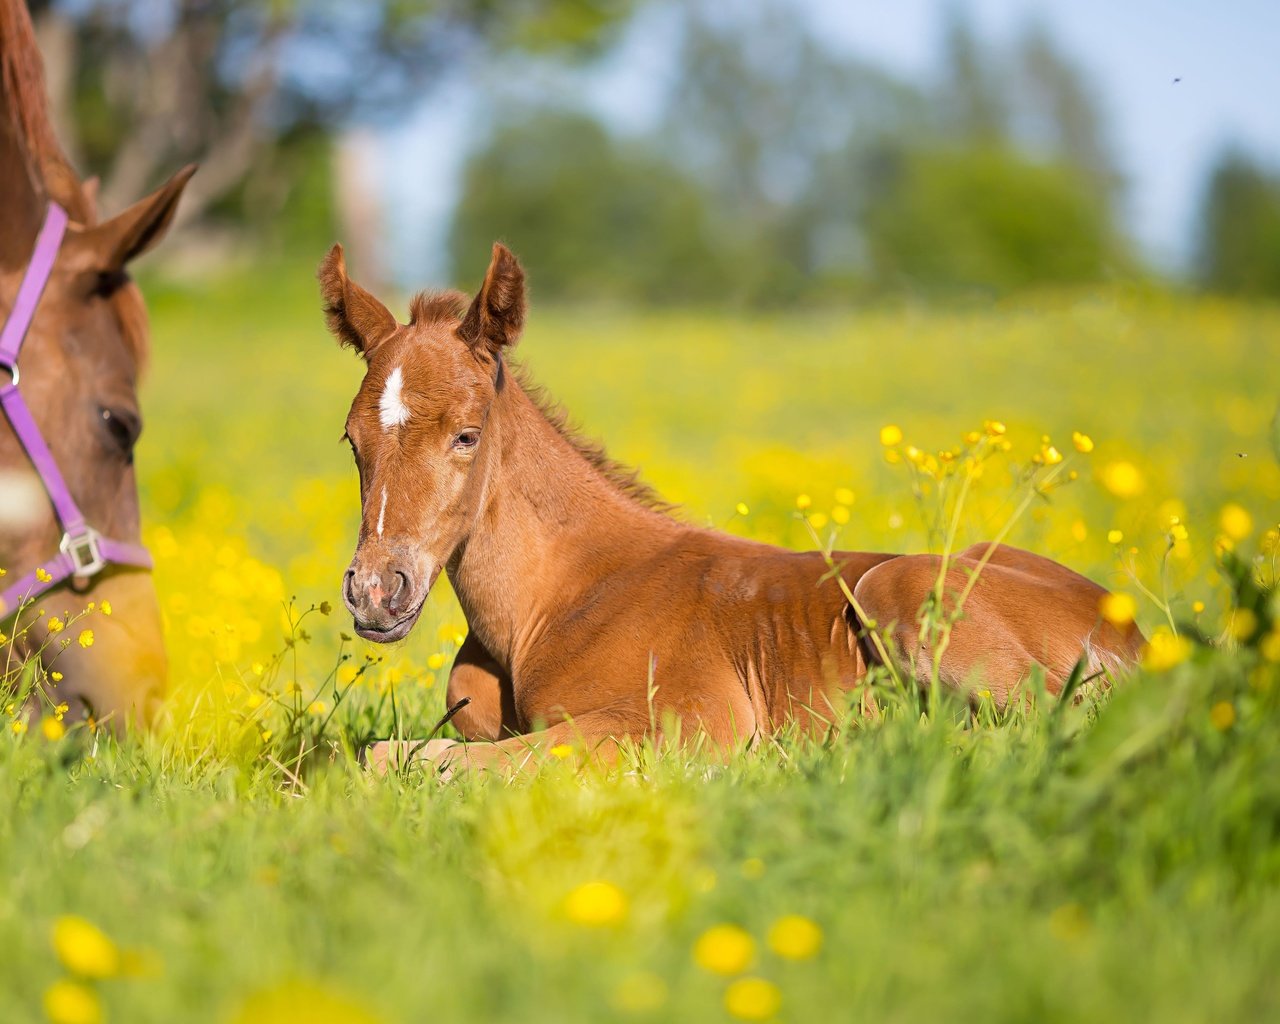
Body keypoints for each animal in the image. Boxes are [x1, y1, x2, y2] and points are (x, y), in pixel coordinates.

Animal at [320, 240, 1141, 773]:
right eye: (352, 440)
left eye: (466, 434)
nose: (376, 591)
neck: (550, 601)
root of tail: (1135, 631)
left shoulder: (689, 720)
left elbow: (411, 759)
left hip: (898, 587)